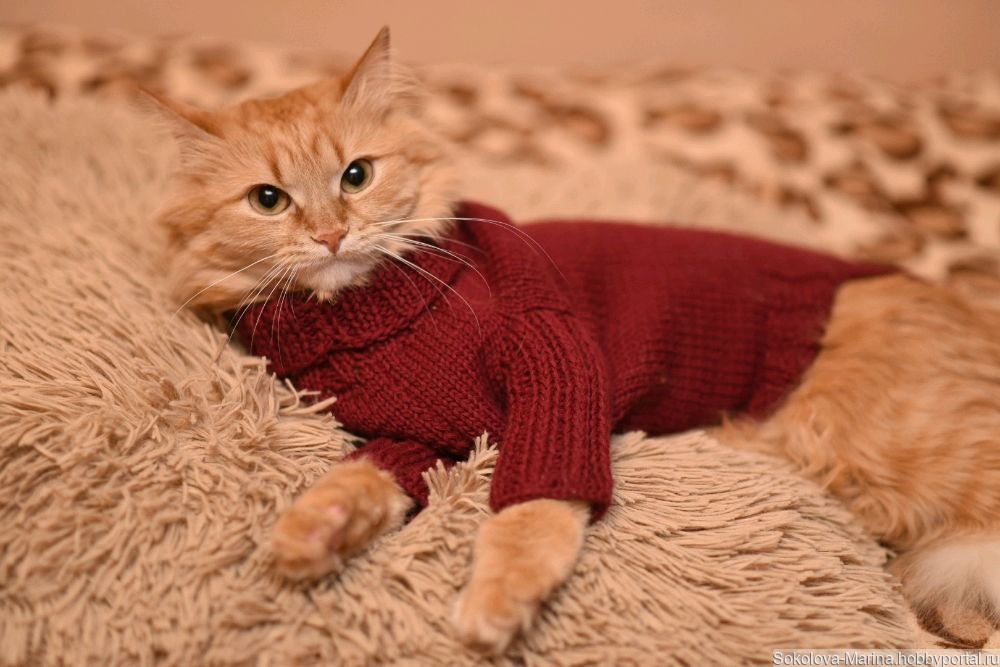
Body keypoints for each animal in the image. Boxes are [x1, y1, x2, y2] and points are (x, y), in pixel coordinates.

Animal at [147, 28, 1000, 653]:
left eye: (357, 175)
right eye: (268, 200)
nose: (331, 234)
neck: (371, 316)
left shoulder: (557, 373)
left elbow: (532, 508)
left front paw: (496, 602)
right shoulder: (418, 437)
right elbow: (358, 481)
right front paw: (310, 534)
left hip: (870, 450)